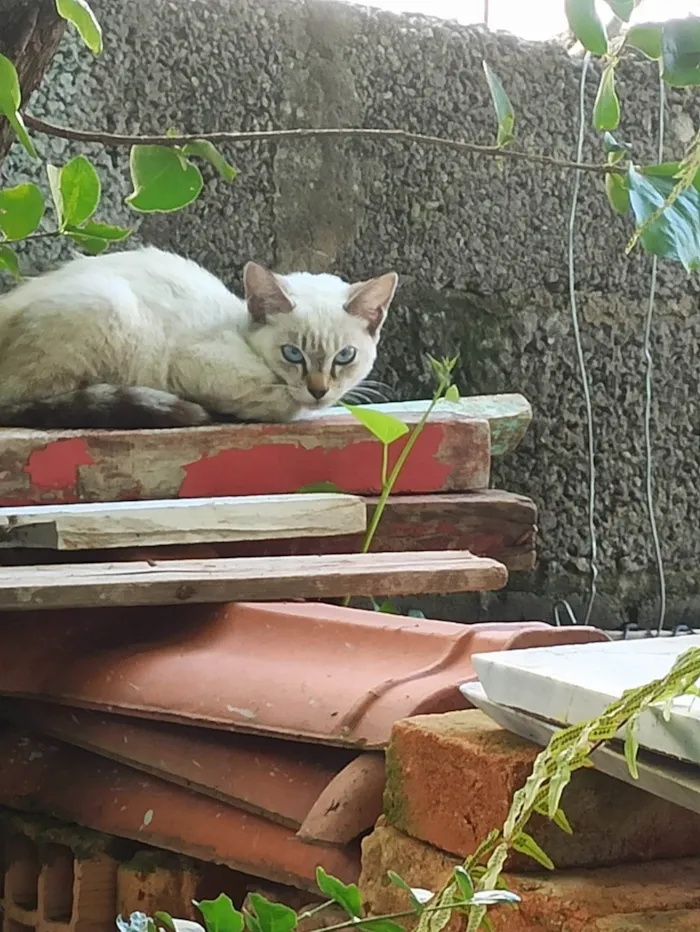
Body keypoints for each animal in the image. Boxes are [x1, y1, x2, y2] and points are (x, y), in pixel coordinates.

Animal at [0, 246, 400, 432]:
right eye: (292, 354)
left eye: (345, 357)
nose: (319, 390)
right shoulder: (190, 364)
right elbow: (277, 403)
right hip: (108, 306)